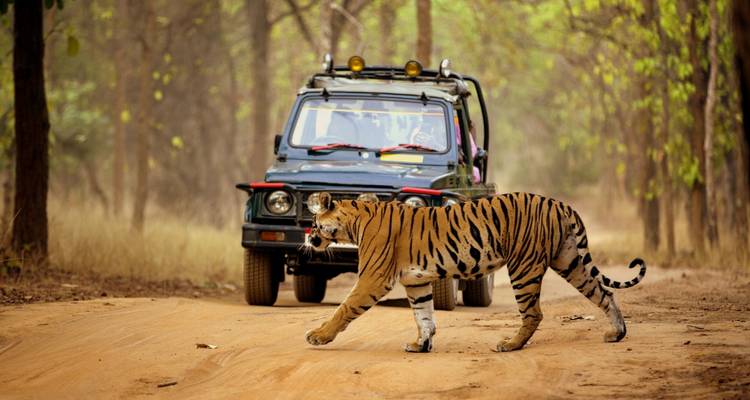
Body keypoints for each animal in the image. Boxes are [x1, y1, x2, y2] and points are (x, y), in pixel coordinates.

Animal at [305, 191, 646, 353]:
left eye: (315, 223)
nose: (308, 238)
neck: (354, 222)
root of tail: (559, 203)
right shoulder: (416, 283)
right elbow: (424, 316)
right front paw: (421, 345)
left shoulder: (373, 278)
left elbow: (345, 308)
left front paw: (318, 336)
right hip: (570, 261)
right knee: (604, 293)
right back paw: (617, 334)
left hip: (523, 266)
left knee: (534, 313)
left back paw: (510, 345)